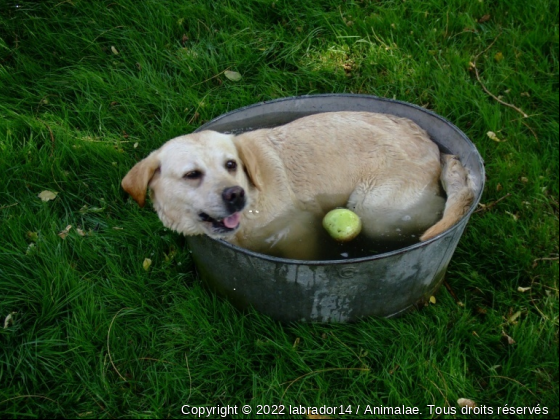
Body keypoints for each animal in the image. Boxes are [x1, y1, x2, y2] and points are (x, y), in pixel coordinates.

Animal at [122, 111, 472, 260]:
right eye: (192, 174)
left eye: (230, 165)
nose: (235, 194)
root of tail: (435, 149)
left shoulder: (297, 228)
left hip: (375, 211)